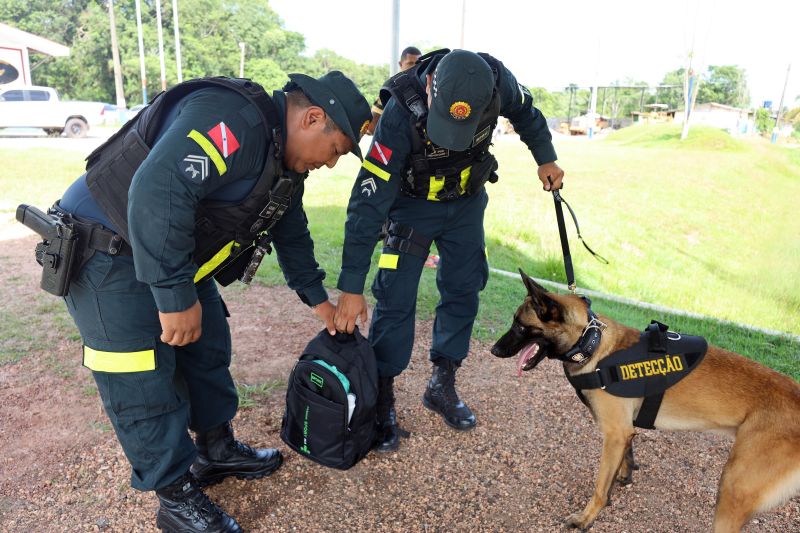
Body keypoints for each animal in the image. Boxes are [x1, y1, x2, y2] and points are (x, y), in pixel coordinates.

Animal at [488, 272, 800, 528]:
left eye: (519, 325)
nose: (493, 350)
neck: (592, 344)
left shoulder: (614, 433)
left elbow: (600, 486)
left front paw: (587, 518)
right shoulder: (624, 432)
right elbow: (625, 458)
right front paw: (623, 477)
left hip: (733, 488)